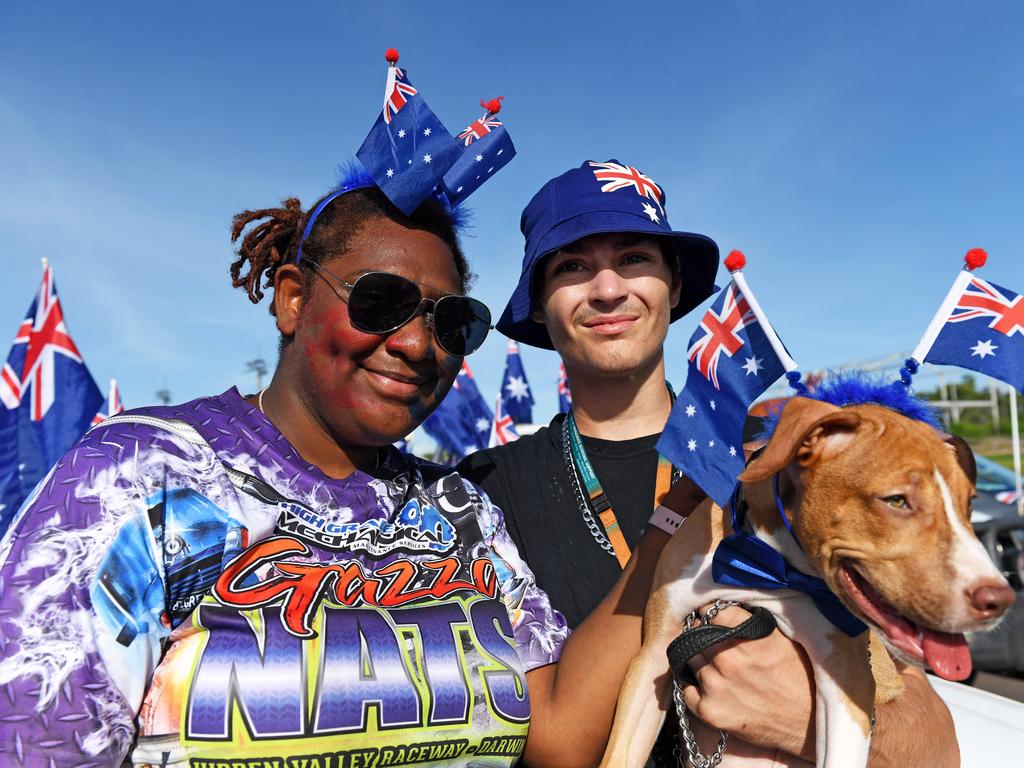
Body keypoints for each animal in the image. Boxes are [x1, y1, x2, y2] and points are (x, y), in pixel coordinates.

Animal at [598, 397, 1015, 768]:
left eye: (969, 504)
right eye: (897, 500)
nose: (1000, 599)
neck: (770, 567)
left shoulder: (846, 676)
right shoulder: (655, 653)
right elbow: (618, 753)